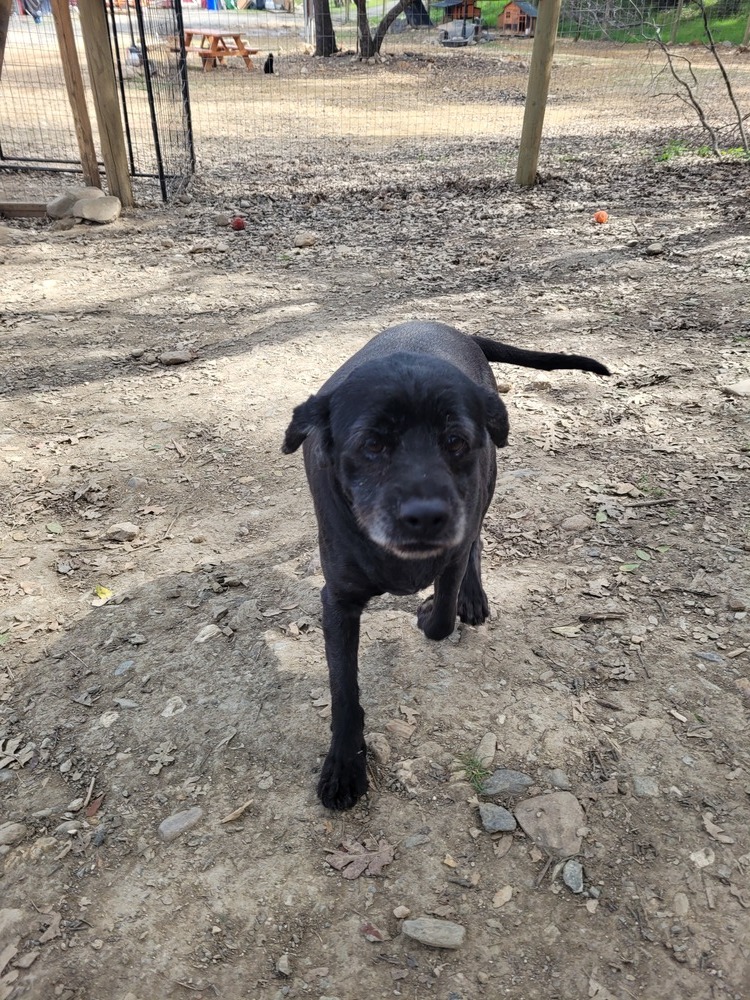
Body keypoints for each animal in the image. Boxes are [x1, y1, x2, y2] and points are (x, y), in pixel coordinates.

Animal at [284, 324, 612, 808]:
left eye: (455, 441)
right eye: (372, 443)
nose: (426, 517)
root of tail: (452, 328)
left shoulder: (452, 555)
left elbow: (442, 618)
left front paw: (430, 612)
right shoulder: (338, 600)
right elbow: (343, 689)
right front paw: (345, 765)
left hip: (487, 485)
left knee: (475, 541)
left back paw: (472, 598)